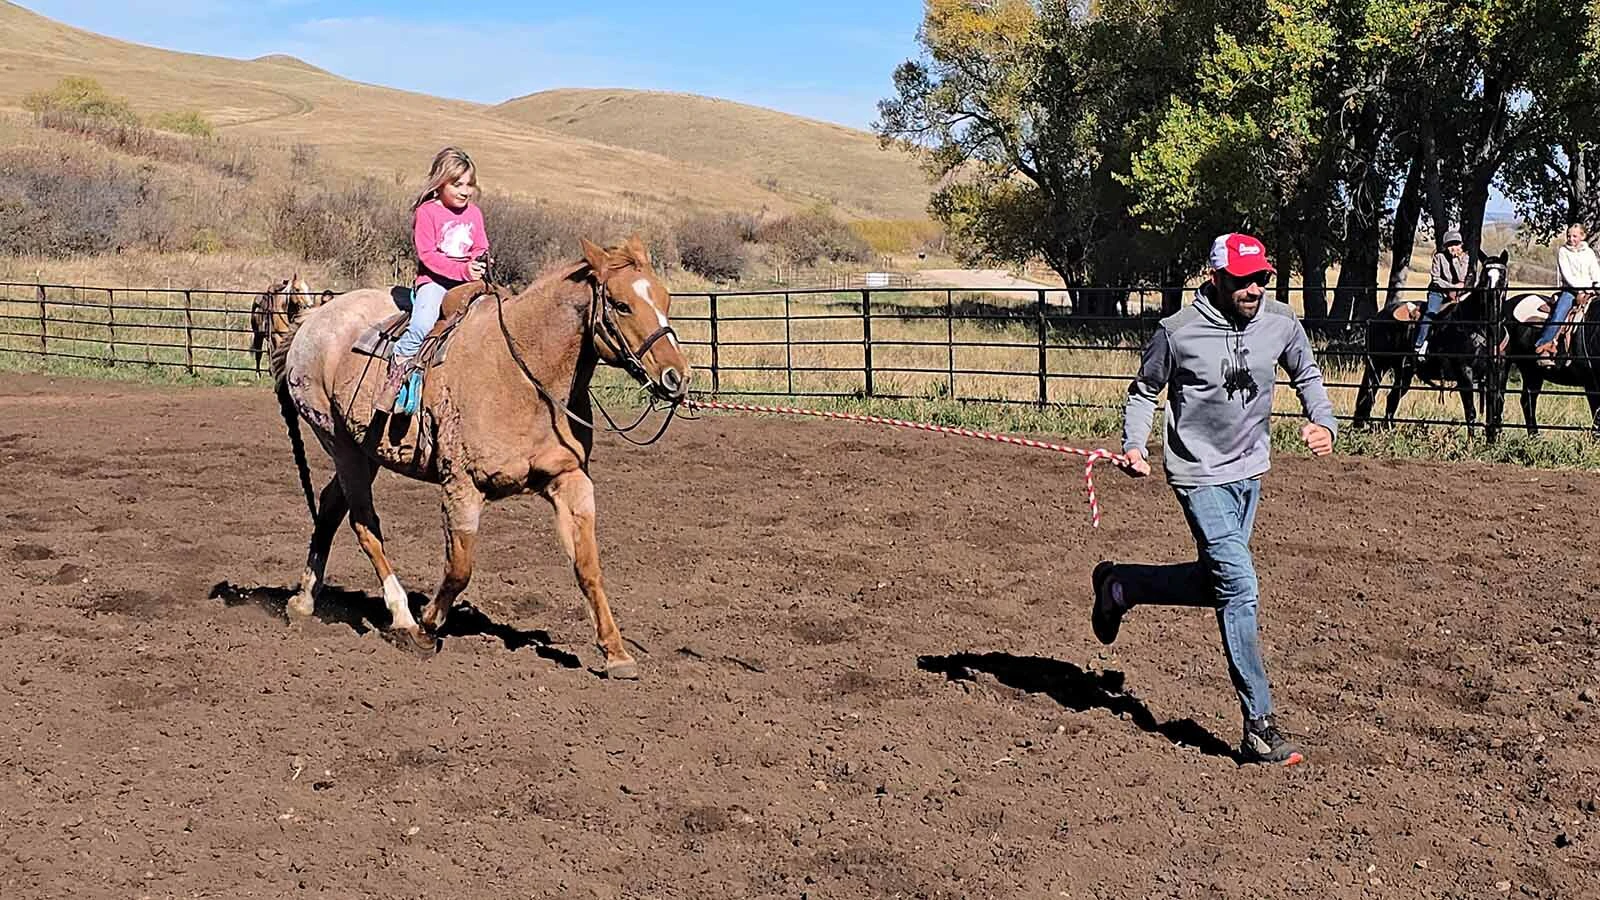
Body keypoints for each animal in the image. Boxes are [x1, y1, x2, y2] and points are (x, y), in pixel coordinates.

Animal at [271, 236, 690, 678]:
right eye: (621, 304)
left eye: (665, 298)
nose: (677, 377)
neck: (525, 373)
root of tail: (312, 321)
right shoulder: (461, 485)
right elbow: (459, 569)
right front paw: (426, 629)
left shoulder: (570, 479)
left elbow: (587, 567)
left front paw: (616, 653)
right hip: (340, 444)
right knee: (363, 523)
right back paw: (401, 616)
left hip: (365, 452)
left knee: (331, 506)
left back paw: (303, 601)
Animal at [1352, 251, 1508, 432]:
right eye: (1484, 276)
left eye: (1502, 275)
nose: (1492, 301)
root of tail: (1378, 316)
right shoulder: (1464, 373)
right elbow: (1470, 411)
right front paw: (1471, 439)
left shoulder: (1497, 374)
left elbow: (1497, 407)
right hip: (1377, 364)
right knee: (1368, 394)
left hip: (1403, 372)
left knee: (1392, 398)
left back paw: (1387, 429)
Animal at [1490, 287, 1600, 438]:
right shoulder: (1591, 384)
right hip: (1503, 363)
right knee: (1499, 397)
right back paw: (1497, 435)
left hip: (1532, 371)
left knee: (1528, 400)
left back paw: (1535, 438)